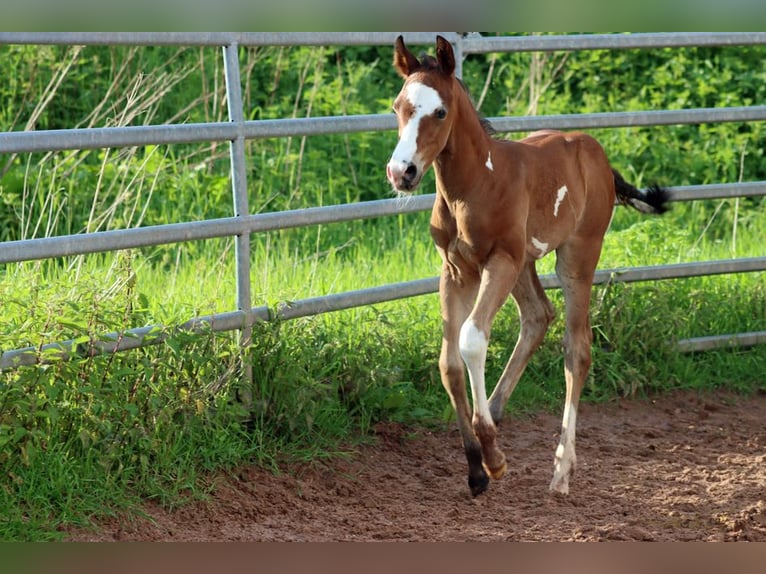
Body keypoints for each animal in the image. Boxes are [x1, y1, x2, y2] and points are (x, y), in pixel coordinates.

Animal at [385, 35, 669, 497]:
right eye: (398, 106)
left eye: (440, 112)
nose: (401, 172)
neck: (475, 186)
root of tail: (598, 156)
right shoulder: (456, 269)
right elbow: (448, 362)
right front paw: (477, 466)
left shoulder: (498, 261)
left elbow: (470, 340)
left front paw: (495, 459)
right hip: (524, 263)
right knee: (539, 315)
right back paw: (495, 416)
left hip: (575, 255)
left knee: (577, 348)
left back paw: (561, 470)